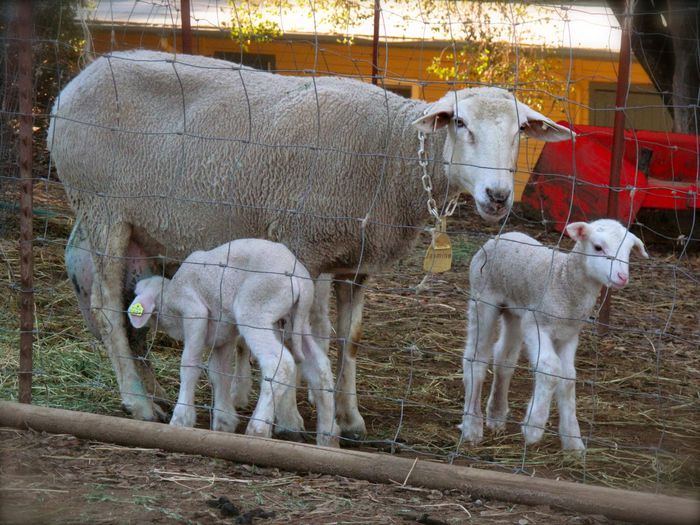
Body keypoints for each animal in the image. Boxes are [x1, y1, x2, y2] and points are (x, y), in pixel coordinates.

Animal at [129, 237, 342, 446]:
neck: (167, 297)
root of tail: (299, 278)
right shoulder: (224, 335)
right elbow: (219, 371)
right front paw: (224, 421)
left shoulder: (194, 311)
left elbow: (190, 365)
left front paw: (181, 419)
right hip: (297, 322)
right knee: (320, 367)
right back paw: (328, 435)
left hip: (254, 311)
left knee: (279, 363)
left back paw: (258, 428)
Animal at [462, 219, 648, 448]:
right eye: (598, 247)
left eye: (629, 251)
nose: (622, 277)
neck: (564, 281)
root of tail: (500, 236)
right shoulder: (536, 324)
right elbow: (550, 368)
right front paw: (534, 426)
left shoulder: (569, 334)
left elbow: (567, 378)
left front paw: (573, 441)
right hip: (482, 299)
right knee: (476, 358)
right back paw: (472, 426)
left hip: (513, 311)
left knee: (504, 358)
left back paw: (496, 415)